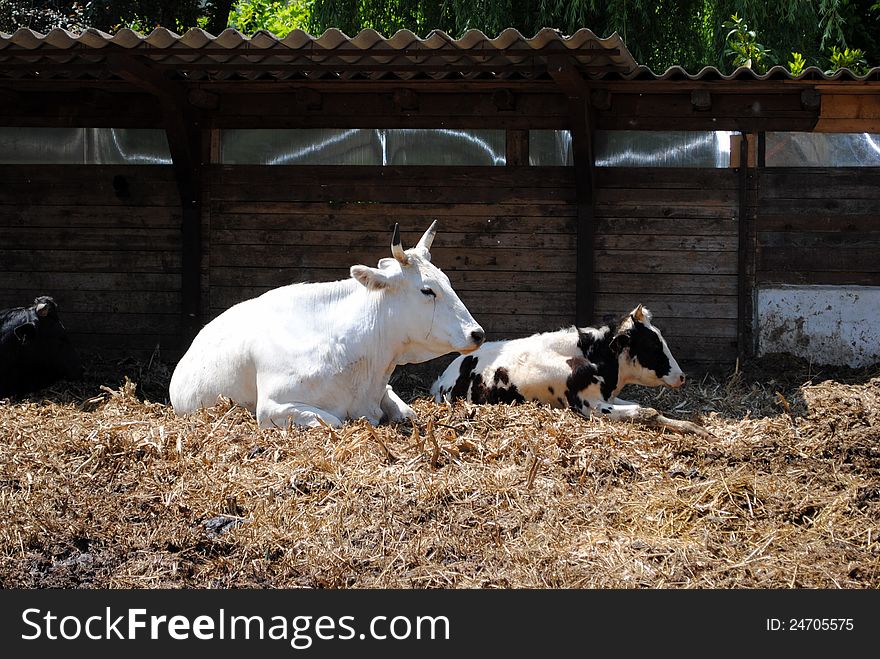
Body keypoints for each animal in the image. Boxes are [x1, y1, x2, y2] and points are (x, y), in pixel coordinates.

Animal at [168, 223, 484, 428]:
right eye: (427, 290)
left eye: (447, 281)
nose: (477, 333)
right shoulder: (272, 406)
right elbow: (335, 422)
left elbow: (408, 413)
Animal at [434, 304, 716, 438]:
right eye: (653, 346)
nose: (681, 376)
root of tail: (443, 378)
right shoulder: (590, 406)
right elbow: (645, 411)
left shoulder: (609, 397)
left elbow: (645, 407)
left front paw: (694, 427)